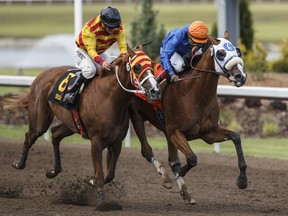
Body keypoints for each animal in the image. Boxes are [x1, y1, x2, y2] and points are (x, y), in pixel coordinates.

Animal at [5, 45, 162, 204]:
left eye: (151, 64)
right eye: (137, 67)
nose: (155, 90)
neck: (109, 99)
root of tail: (42, 74)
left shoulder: (116, 142)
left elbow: (109, 174)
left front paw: (91, 182)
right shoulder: (96, 142)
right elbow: (100, 174)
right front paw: (101, 200)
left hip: (70, 124)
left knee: (55, 134)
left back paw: (53, 171)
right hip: (40, 120)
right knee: (30, 136)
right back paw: (18, 164)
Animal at [128, 32, 248, 204]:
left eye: (237, 51)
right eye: (221, 53)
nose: (240, 76)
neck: (195, 94)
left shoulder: (208, 133)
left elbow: (236, 137)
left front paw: (242, 180)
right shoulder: (176, 132)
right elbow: (191, 158)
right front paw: (180, 173)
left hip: (166, 132)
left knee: (171, 157)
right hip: (136, 116)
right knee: (146, 150)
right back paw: (167, 178)